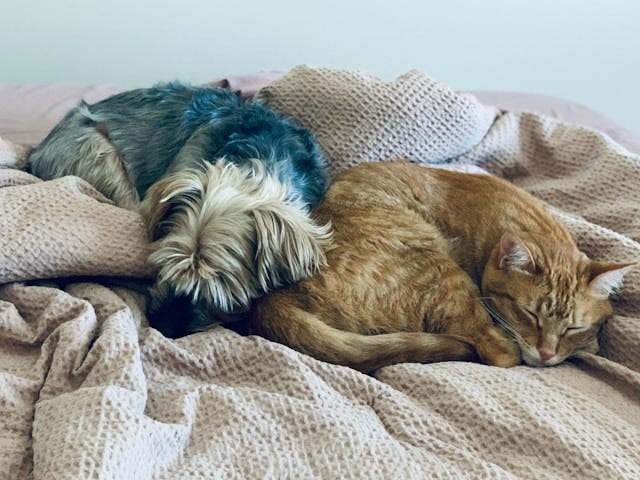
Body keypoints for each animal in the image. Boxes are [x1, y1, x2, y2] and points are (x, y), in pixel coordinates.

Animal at [23, 83, 333, 337]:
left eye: (222, 292)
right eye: (164, 264)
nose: (162, 326)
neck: (253, 161)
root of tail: (36, 151)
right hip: (98, 152)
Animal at [246, 161, 634, 372]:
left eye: (573, 327)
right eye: (530, 315)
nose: (547, 353)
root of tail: (272, 298)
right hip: (442, 270)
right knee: (495, 351)